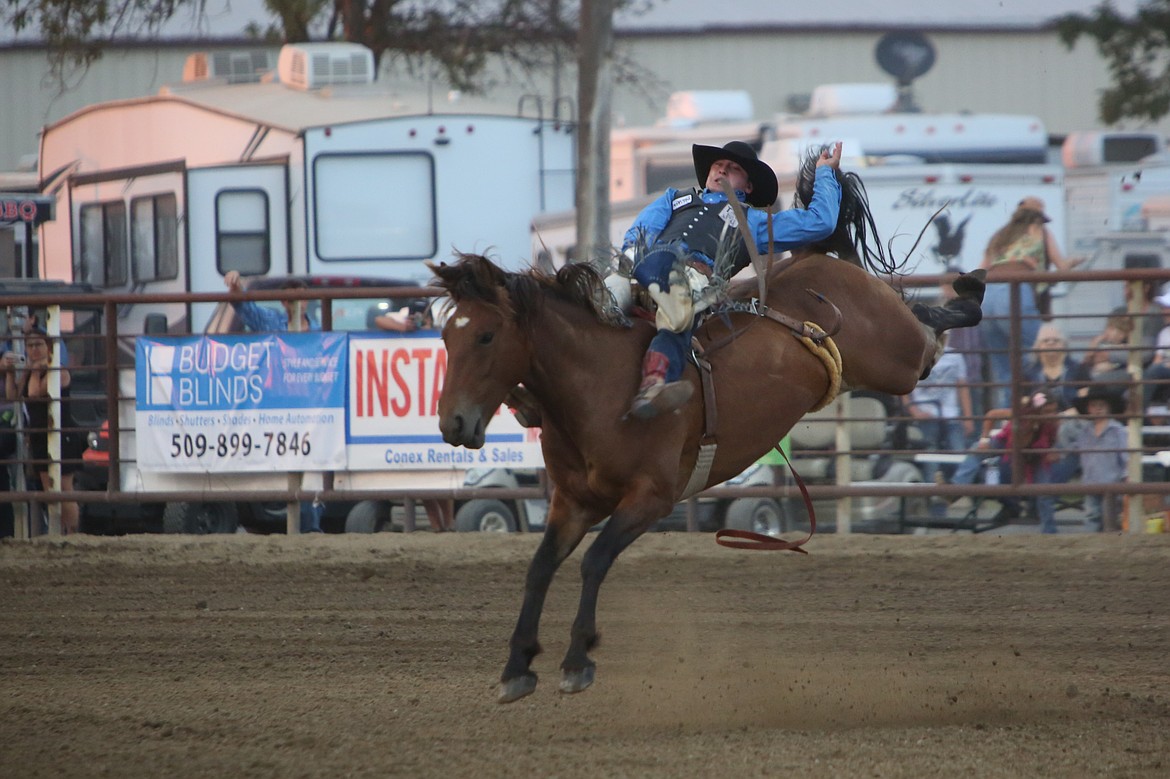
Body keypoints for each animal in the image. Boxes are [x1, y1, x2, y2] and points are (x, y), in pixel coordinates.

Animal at [435, 251, 973, 701]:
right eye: (445, 336)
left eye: (486, 336)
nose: (452, 423)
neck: (599, 384)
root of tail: (824, 260)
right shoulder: (573, 502)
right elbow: (540, 567)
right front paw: (517, 666)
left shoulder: (650, 499)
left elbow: (594, 561)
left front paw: (577, 660)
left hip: (896, 361)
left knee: (926, 340)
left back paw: (965, 297)